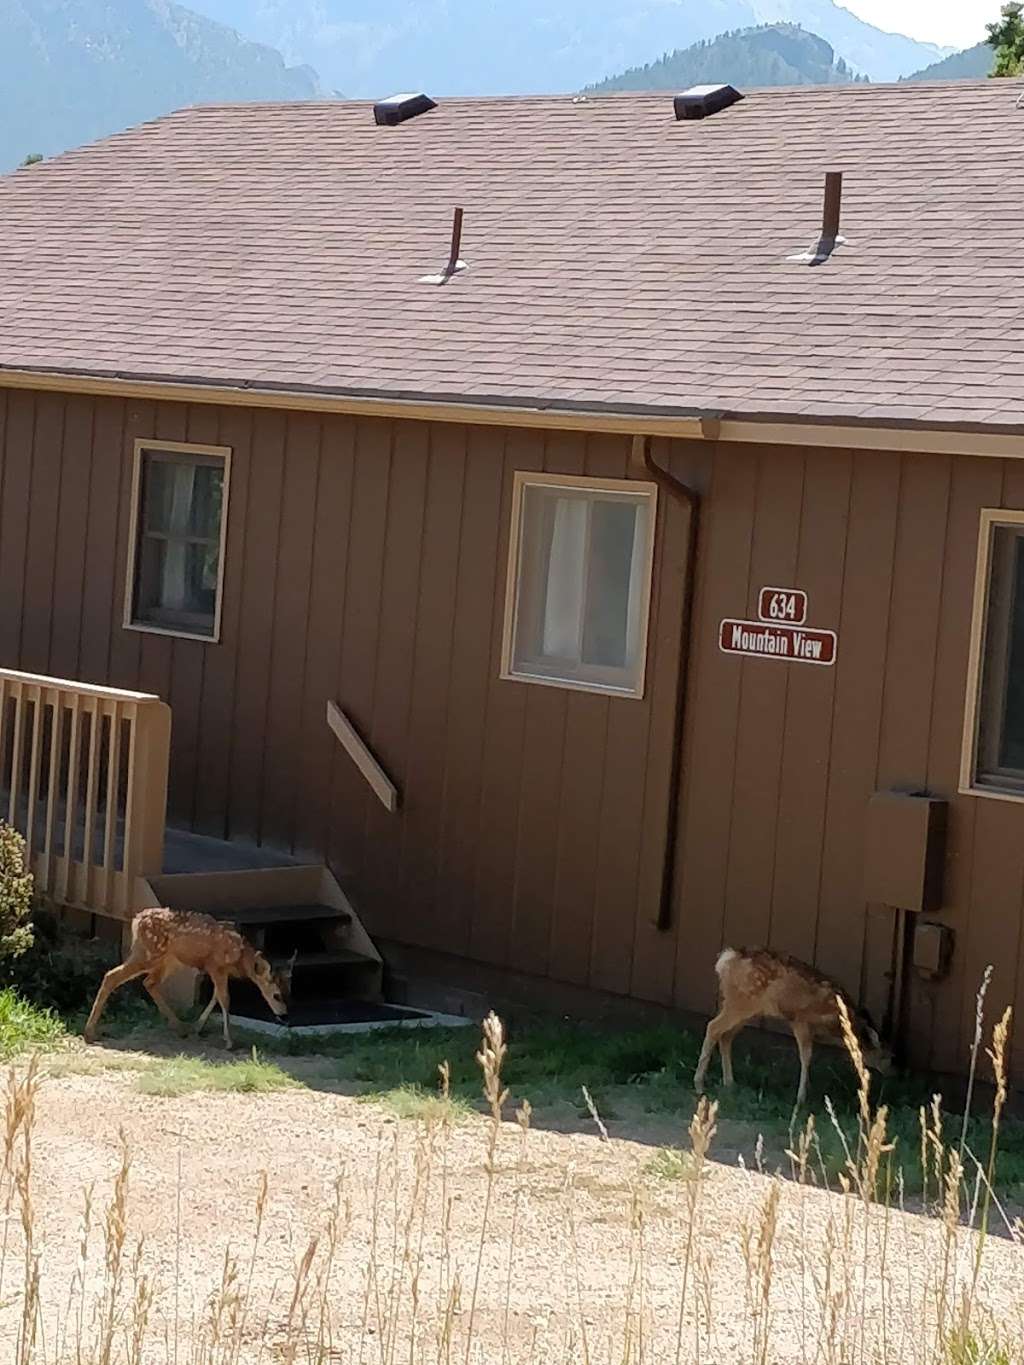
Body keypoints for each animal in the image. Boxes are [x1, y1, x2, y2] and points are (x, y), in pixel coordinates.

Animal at [84, 911, 294, 1048]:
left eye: (289, 992)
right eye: (276, 995)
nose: (284, 1015)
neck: (240, 956)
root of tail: (136, 920)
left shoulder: (219, 970)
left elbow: (215, 996)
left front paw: (198, 1027)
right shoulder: (214, 965)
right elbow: (225, 998)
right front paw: (229, 1041)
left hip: (168, 960)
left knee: (149, 982)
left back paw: (180, 1027)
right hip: (148, 953)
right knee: (112, 976)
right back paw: (89, 1033)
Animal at [693, 950, 895, 1108]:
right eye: (887, 1057)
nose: (891, 1074)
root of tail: (726, 960)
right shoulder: (800, 1019)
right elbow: (806, 1056)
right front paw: (801, 1099)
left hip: (747, 1009)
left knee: (725, 1036)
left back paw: (730, 1084)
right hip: (741, 1002)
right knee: (713, 1027)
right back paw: (699, 1085)